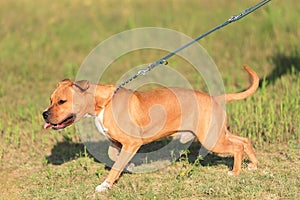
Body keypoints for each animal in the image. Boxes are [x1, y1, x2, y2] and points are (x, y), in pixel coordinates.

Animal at [42, 65, 258, 192]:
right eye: (50, 99)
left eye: (62, 101)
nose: (44, 114)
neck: (102, 104)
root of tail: (214, 98)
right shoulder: (117, 142)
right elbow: (115, 157)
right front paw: (128, 166)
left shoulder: (131, 143)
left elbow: (115, 166)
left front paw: (105, 185)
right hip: (218, 134)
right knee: (244, 141)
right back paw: (254, 165)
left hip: (212, 140)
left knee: (237, 147)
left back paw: (235, 172)